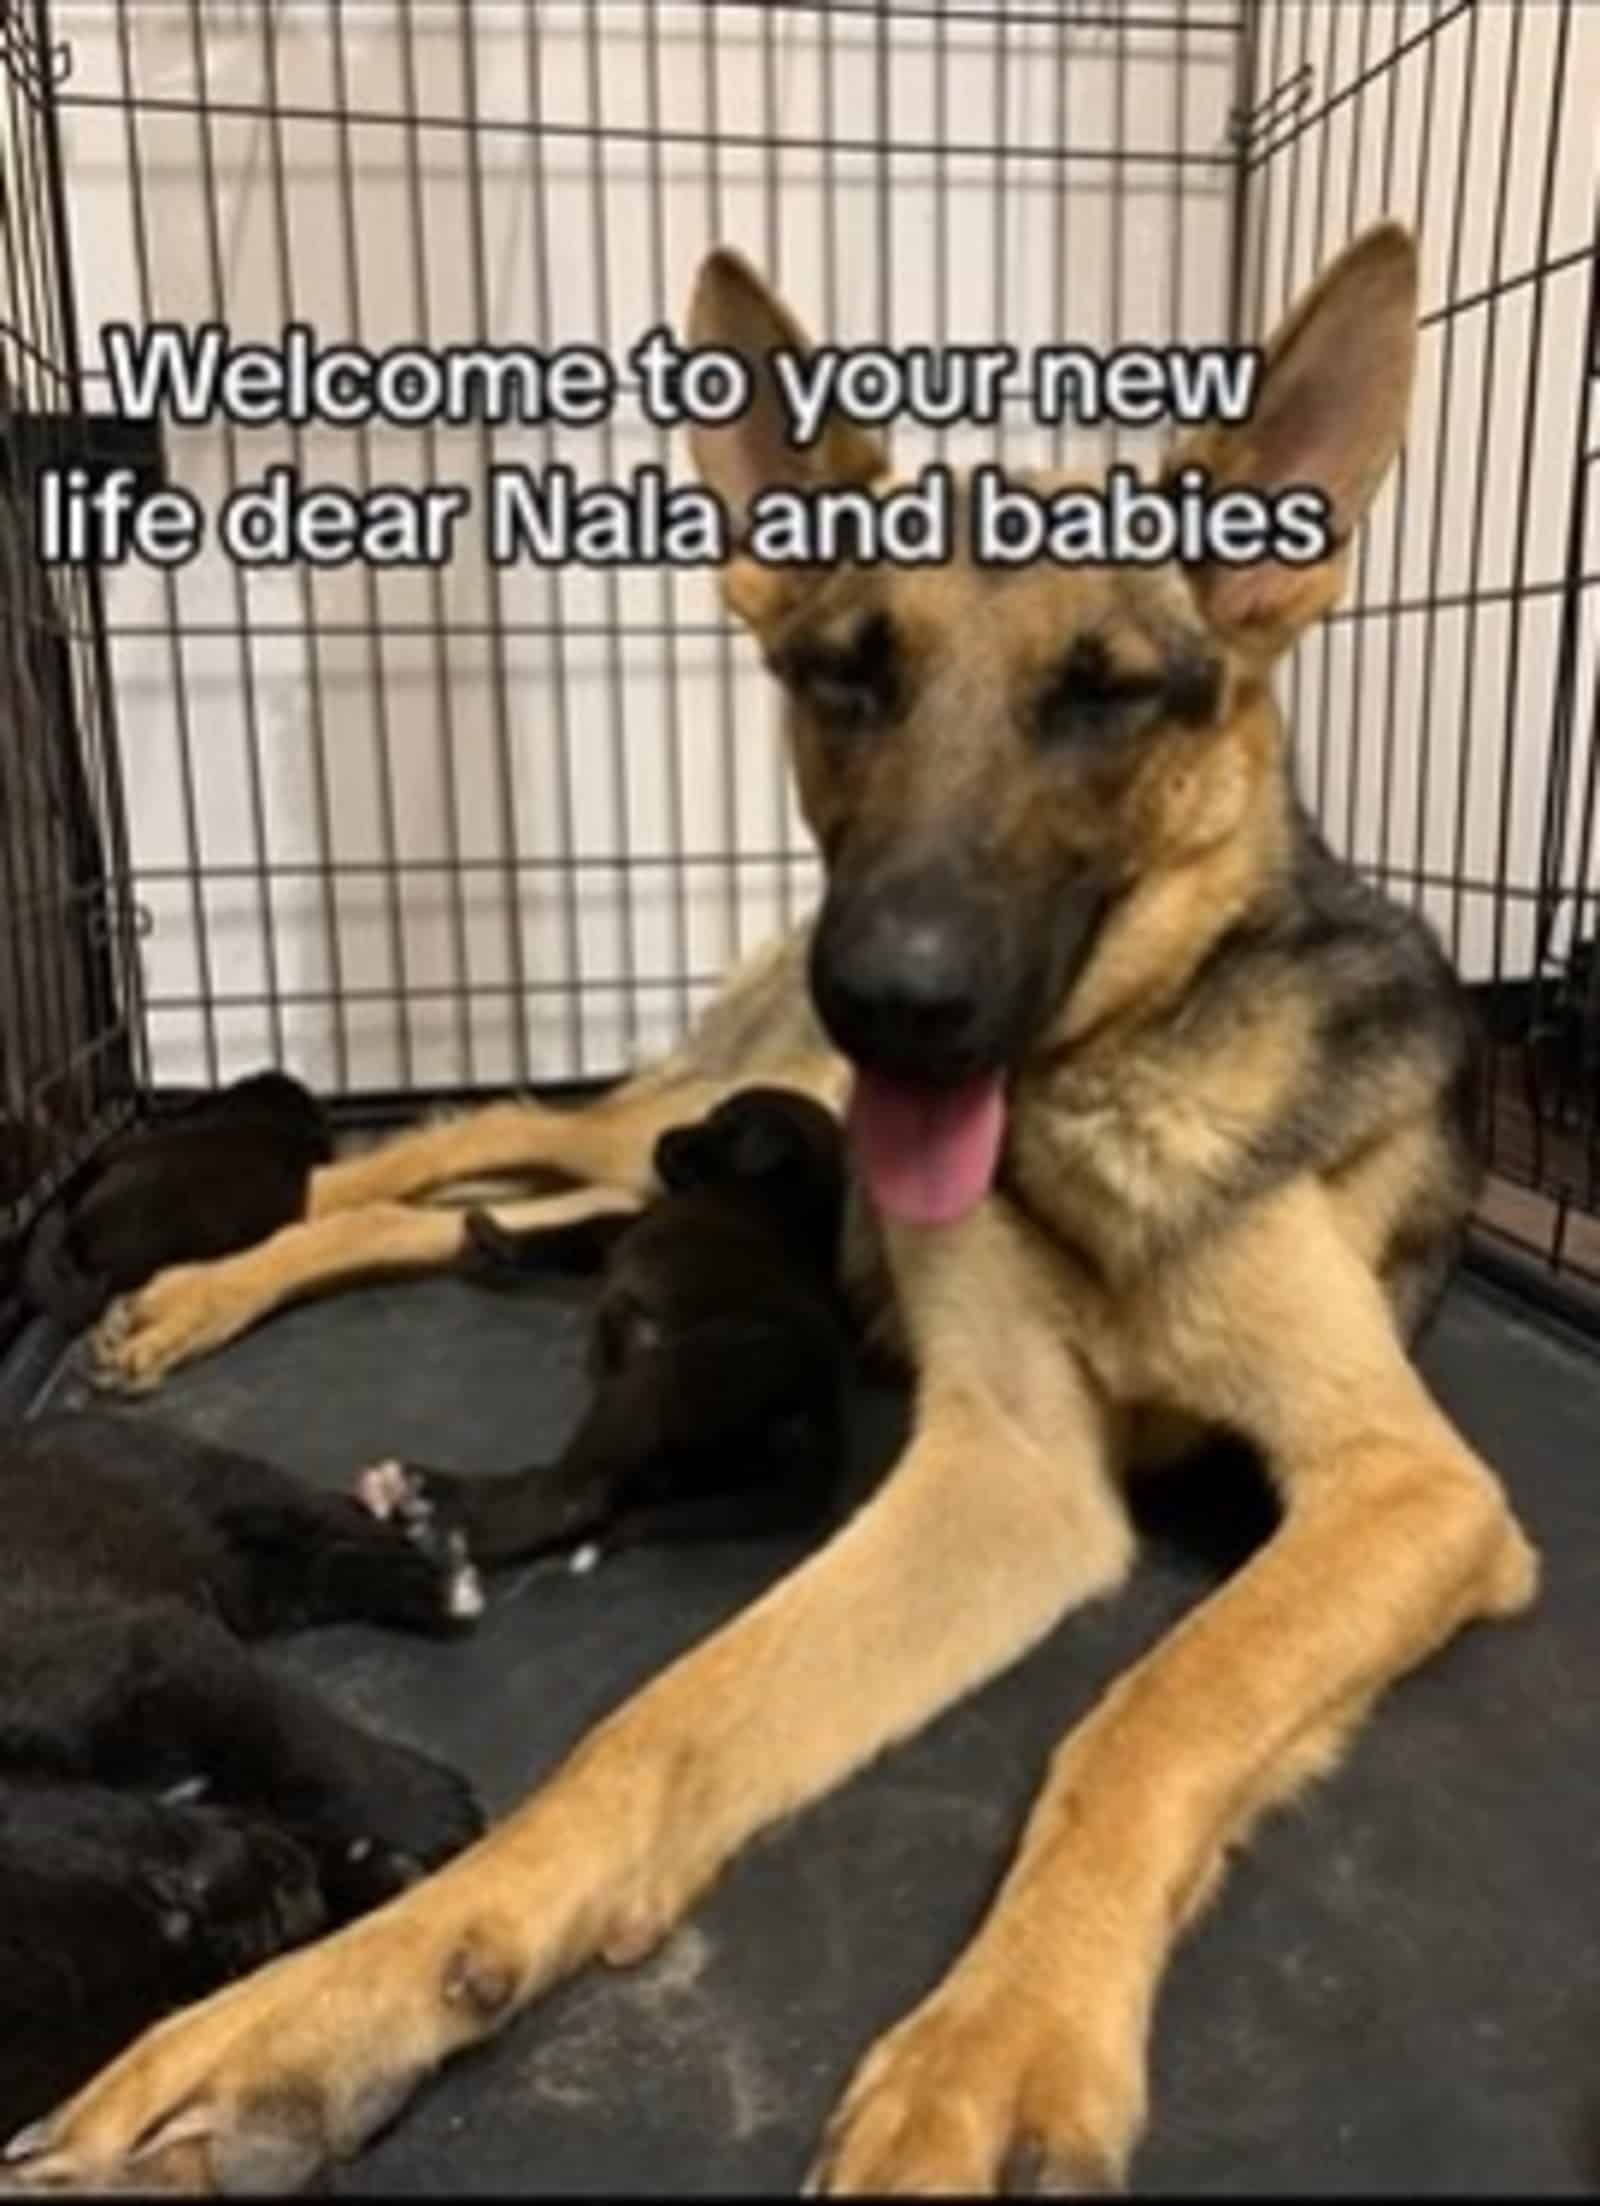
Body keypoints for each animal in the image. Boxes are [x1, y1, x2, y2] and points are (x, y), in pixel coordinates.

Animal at [1, 1411, 487, 2135]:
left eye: (166, 1894)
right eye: (169, 2005)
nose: (295, 1891)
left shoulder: (155, 1661)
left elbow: (295, 1738)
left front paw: (429, 1809)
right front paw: (370, 1875)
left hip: (188, 1477)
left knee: (310, 1515)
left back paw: (432, 1572)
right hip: (249, 1585)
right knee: (308, 1572)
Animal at [357, 1085, 856, 1570]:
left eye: (727, 1132)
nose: (661, 1138)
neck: (785, 1201)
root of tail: (816, 1427)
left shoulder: (623, 1226)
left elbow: (574, 1232)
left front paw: (496, 1239)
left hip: (648, 1391)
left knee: (568, 1498)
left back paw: (446, 1532)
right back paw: (423, 1491)